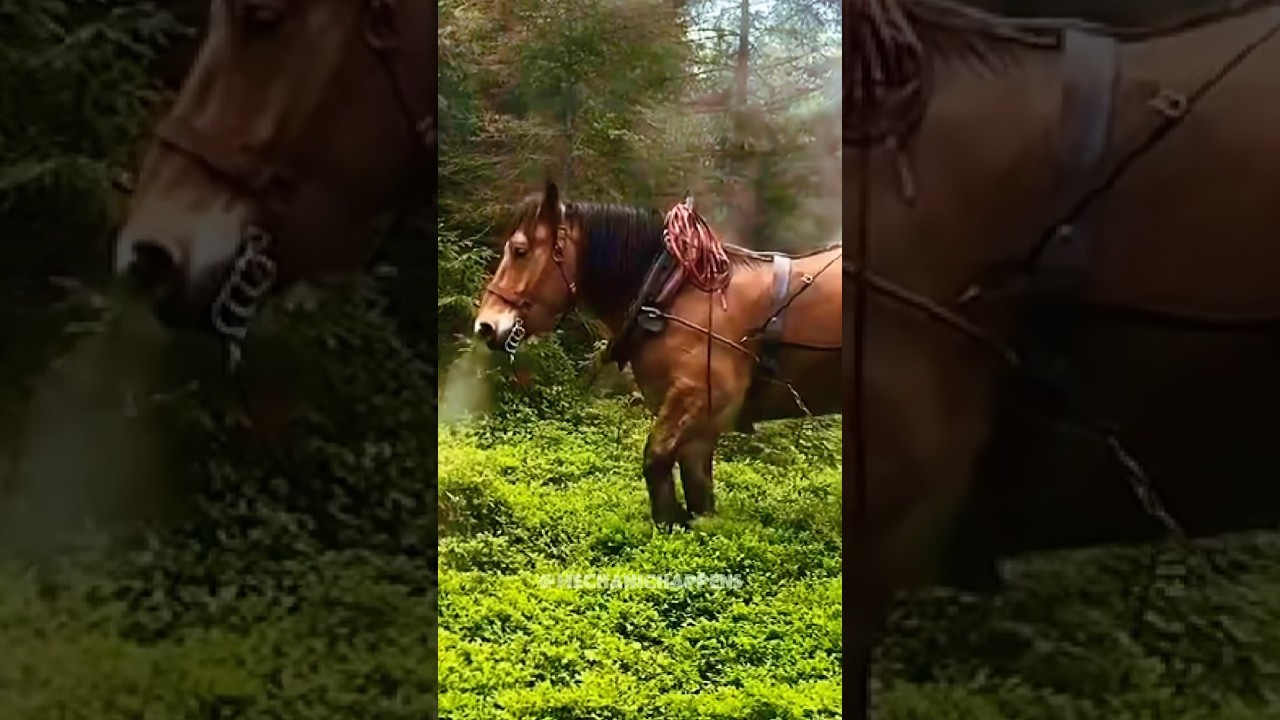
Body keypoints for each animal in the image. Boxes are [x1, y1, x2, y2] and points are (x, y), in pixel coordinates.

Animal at [473, 182, 842, 526]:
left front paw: (669, 523)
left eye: (520, 250)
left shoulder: (698, 398)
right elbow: (699, 498)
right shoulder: (698, 427)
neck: (670, 293)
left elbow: (656, 463)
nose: (485, 326)